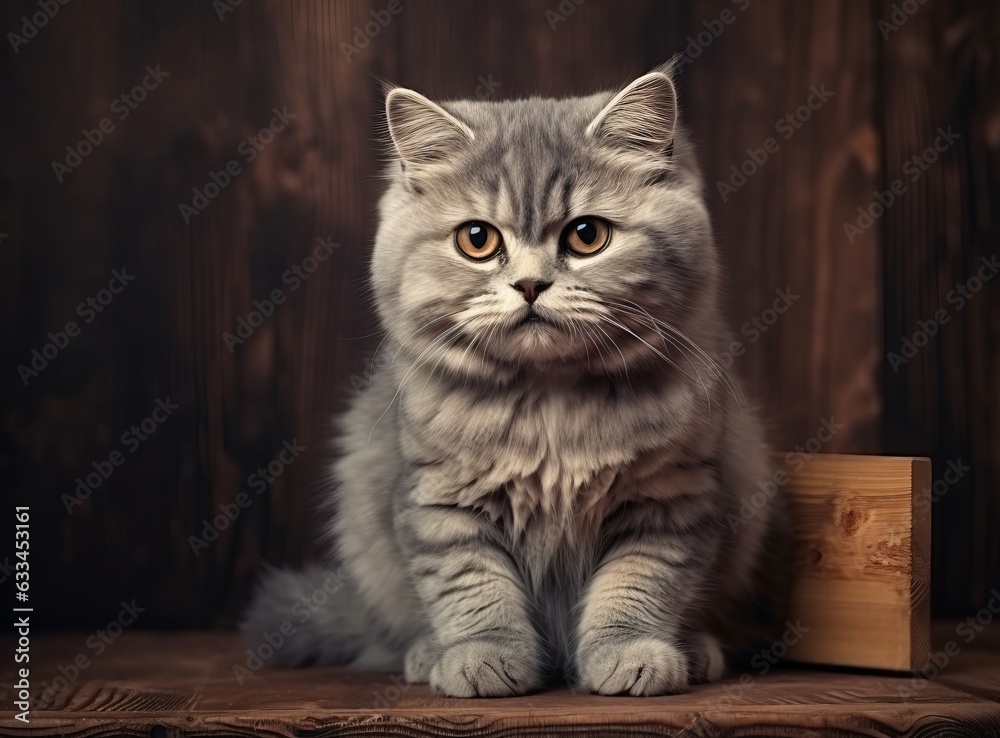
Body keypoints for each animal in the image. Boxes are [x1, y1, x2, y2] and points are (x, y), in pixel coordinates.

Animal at [244, 64, 788, 696]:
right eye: (477, 240)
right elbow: (475, 592)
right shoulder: (441, 502)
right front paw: (482, 659)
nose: (530, 285)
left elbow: (636, 588)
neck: (550, 400)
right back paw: (427, 655)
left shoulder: (670, 500)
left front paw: (631, 655)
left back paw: (696, 651)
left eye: (586, 235)